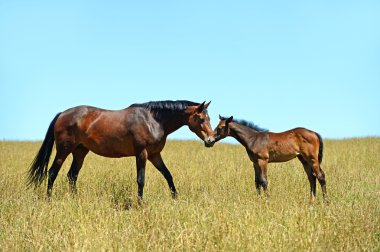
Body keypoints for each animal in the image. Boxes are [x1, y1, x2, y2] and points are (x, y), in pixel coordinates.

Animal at [28, 100, 215, 199]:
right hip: (63, 150)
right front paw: (140, 203)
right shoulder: (141, 154)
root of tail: (62, 114)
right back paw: (49, 200)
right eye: (201, 118)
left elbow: (168, 175)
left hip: (80, 152)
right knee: (52, 173)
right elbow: (141, 179)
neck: (153, 120)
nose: (211, 140)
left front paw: (176, 198)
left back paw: (75, 199)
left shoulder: (155, 155)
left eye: (209, 118)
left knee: (72, 176)